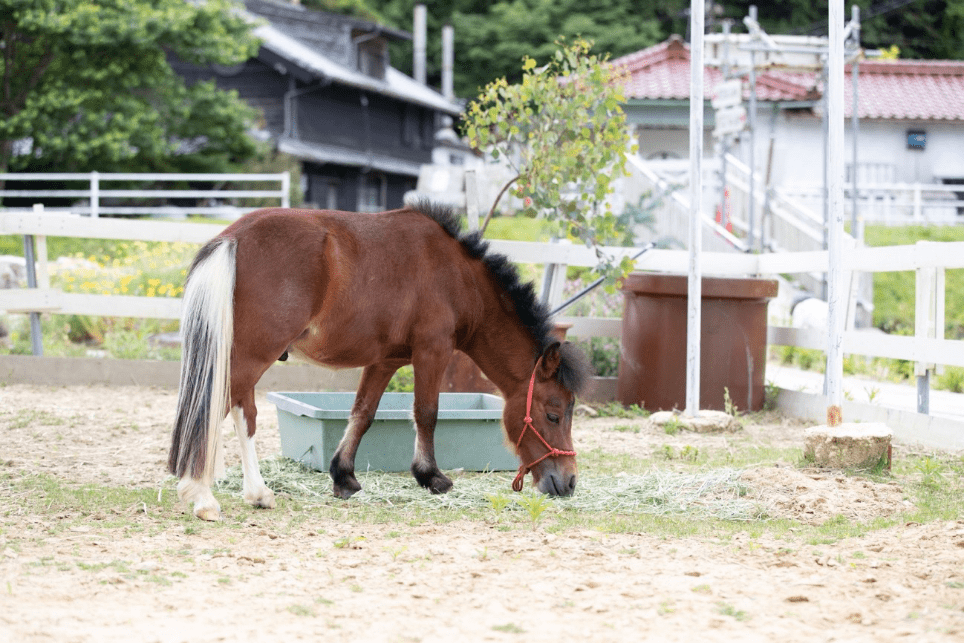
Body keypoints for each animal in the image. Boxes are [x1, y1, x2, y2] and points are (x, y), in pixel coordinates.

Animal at [169, 204, 592, 520]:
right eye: (553, 414)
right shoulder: (432, 352)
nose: (569, 481)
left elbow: (363, 414)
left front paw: (344, 476)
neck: (458, 276)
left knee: (243, 413)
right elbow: (426, 413)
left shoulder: (385, 361)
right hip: (254, 354)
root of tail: (232, 237)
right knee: (217, 407)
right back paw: (202, 495)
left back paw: (254, 492)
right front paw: (431, 477)